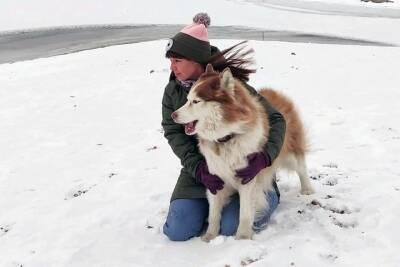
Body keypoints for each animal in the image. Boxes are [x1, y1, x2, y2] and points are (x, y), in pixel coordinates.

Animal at [170, 63, 314, 242]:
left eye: (196, 101)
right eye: (187, 99)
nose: (172, 115)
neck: (226, 139)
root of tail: (272, 92)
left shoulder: (248, 179)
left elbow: (244, 213)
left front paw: (242, 238)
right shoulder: (214, 180)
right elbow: (214, 214)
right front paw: (210, 236)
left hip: (290, 153)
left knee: (301, 168)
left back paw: (307, 189)